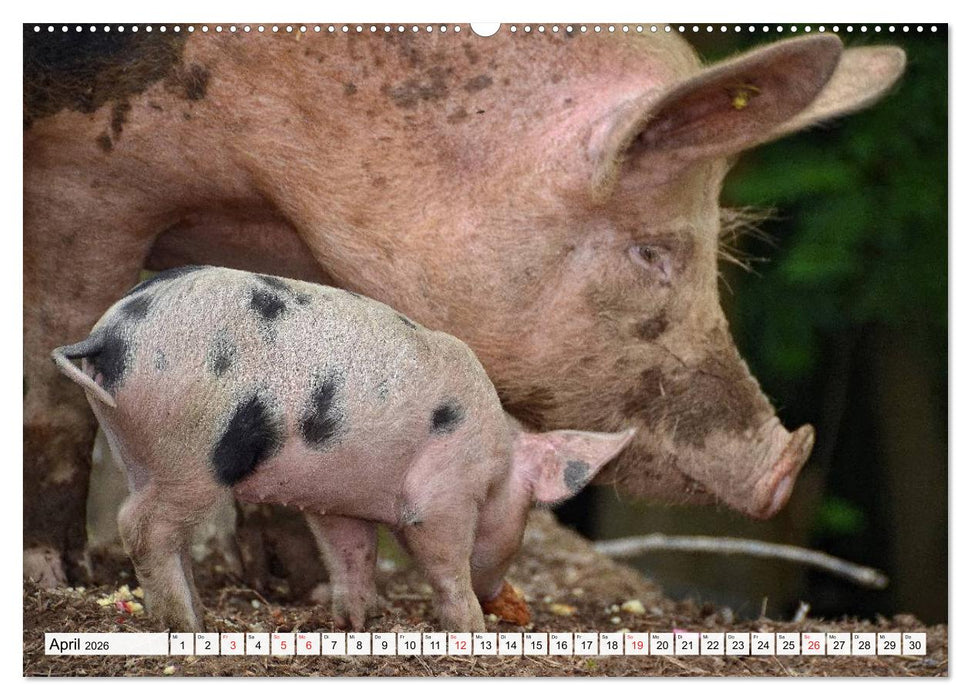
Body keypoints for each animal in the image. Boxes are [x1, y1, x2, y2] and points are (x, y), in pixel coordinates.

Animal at [24, 28, 905, 585]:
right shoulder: (84, 178)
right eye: (651, 252)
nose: (784, 466)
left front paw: (306, 591)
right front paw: (55, 578)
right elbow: (48, 378)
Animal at [52, 265, 635, 631]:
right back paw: (187, 625)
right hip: (191, 451)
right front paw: (471, 631)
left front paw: (356, 622)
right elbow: (443, 558)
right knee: (139, 525)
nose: (500, 600)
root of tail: (109, 335)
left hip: (133, 445)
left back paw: (194, 612)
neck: (498, 459)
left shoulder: (338, 501)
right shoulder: (443, 493)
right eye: (529, 514)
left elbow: (352, 554)